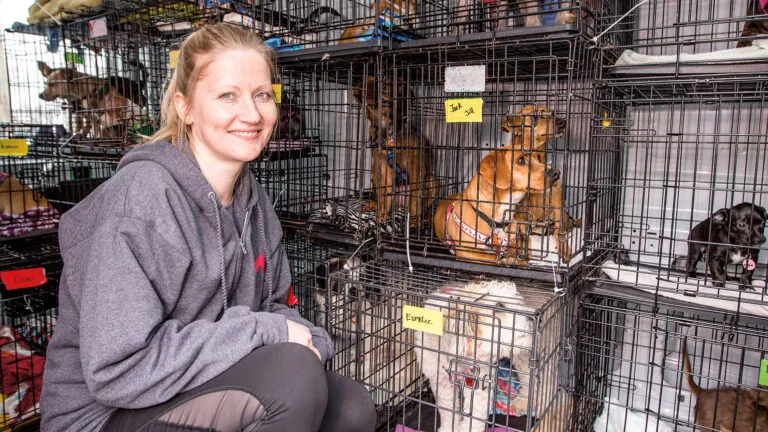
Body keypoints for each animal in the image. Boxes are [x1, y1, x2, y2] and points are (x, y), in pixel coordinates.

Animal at [352, 76, 438, 228]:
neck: (389, 133)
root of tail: (400, 203)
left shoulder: (416, 168)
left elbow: (415, 198)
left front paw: (414, 221)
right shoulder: (382, 168)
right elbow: (384, 196)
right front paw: (381, 217)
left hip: (432, 181)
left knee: (425, 205)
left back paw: (426, 217)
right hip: (374, 175)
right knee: (380, 197)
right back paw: (373, 204)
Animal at [414, 280, 536, 432]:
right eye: (499, 305)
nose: (535, 316)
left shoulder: (480, 385)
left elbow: (474, 420)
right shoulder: (441, 381)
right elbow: (447, 411)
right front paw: (448, 427)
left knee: (528, 376)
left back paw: (523, 402)